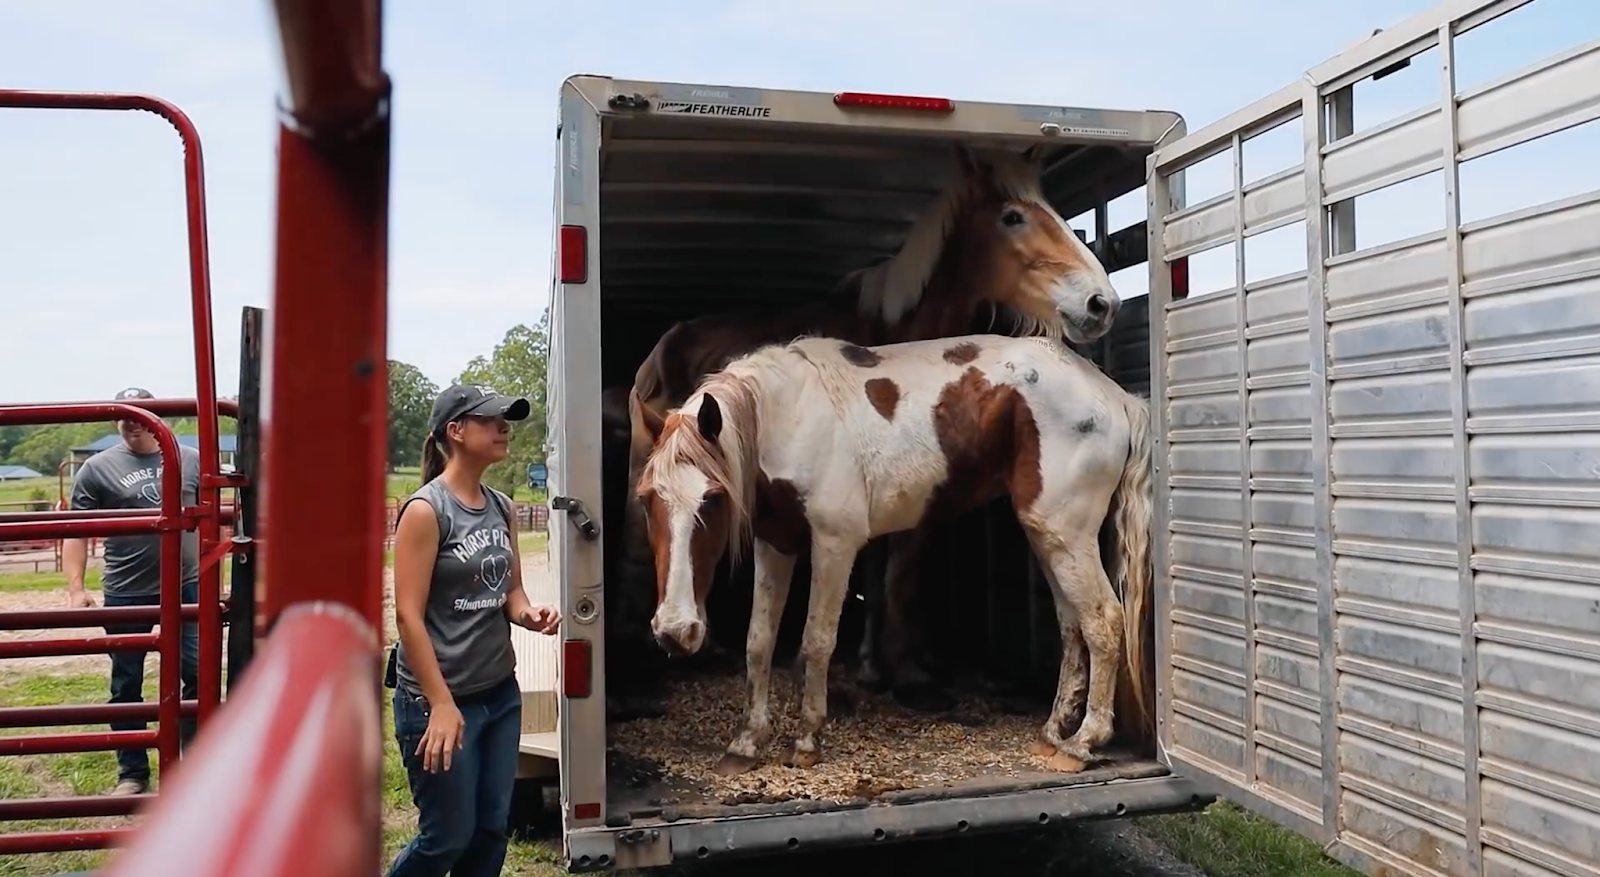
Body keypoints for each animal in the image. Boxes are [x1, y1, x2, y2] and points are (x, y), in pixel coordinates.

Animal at [610, 143, 1124, 716]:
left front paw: (882, 666)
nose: (1101, 304)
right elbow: (895, 569)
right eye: (1013, 217)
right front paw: (902, 675)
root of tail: (663, 346)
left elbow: (889, 570)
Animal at [633, 332, 1155, 776]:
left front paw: (806, 740)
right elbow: (758, 641)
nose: (675, 632)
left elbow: (816, 641)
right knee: (1072, 626)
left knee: (1104, 621)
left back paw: (1084, 742)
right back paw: (1054, 732)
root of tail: (1117, 399)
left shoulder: (834, 544)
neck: (789, 419)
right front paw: (746, 742)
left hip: (1068, 537)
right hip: (1049, 538)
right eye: (646, 499)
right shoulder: (776, 542)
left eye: (713, 499)